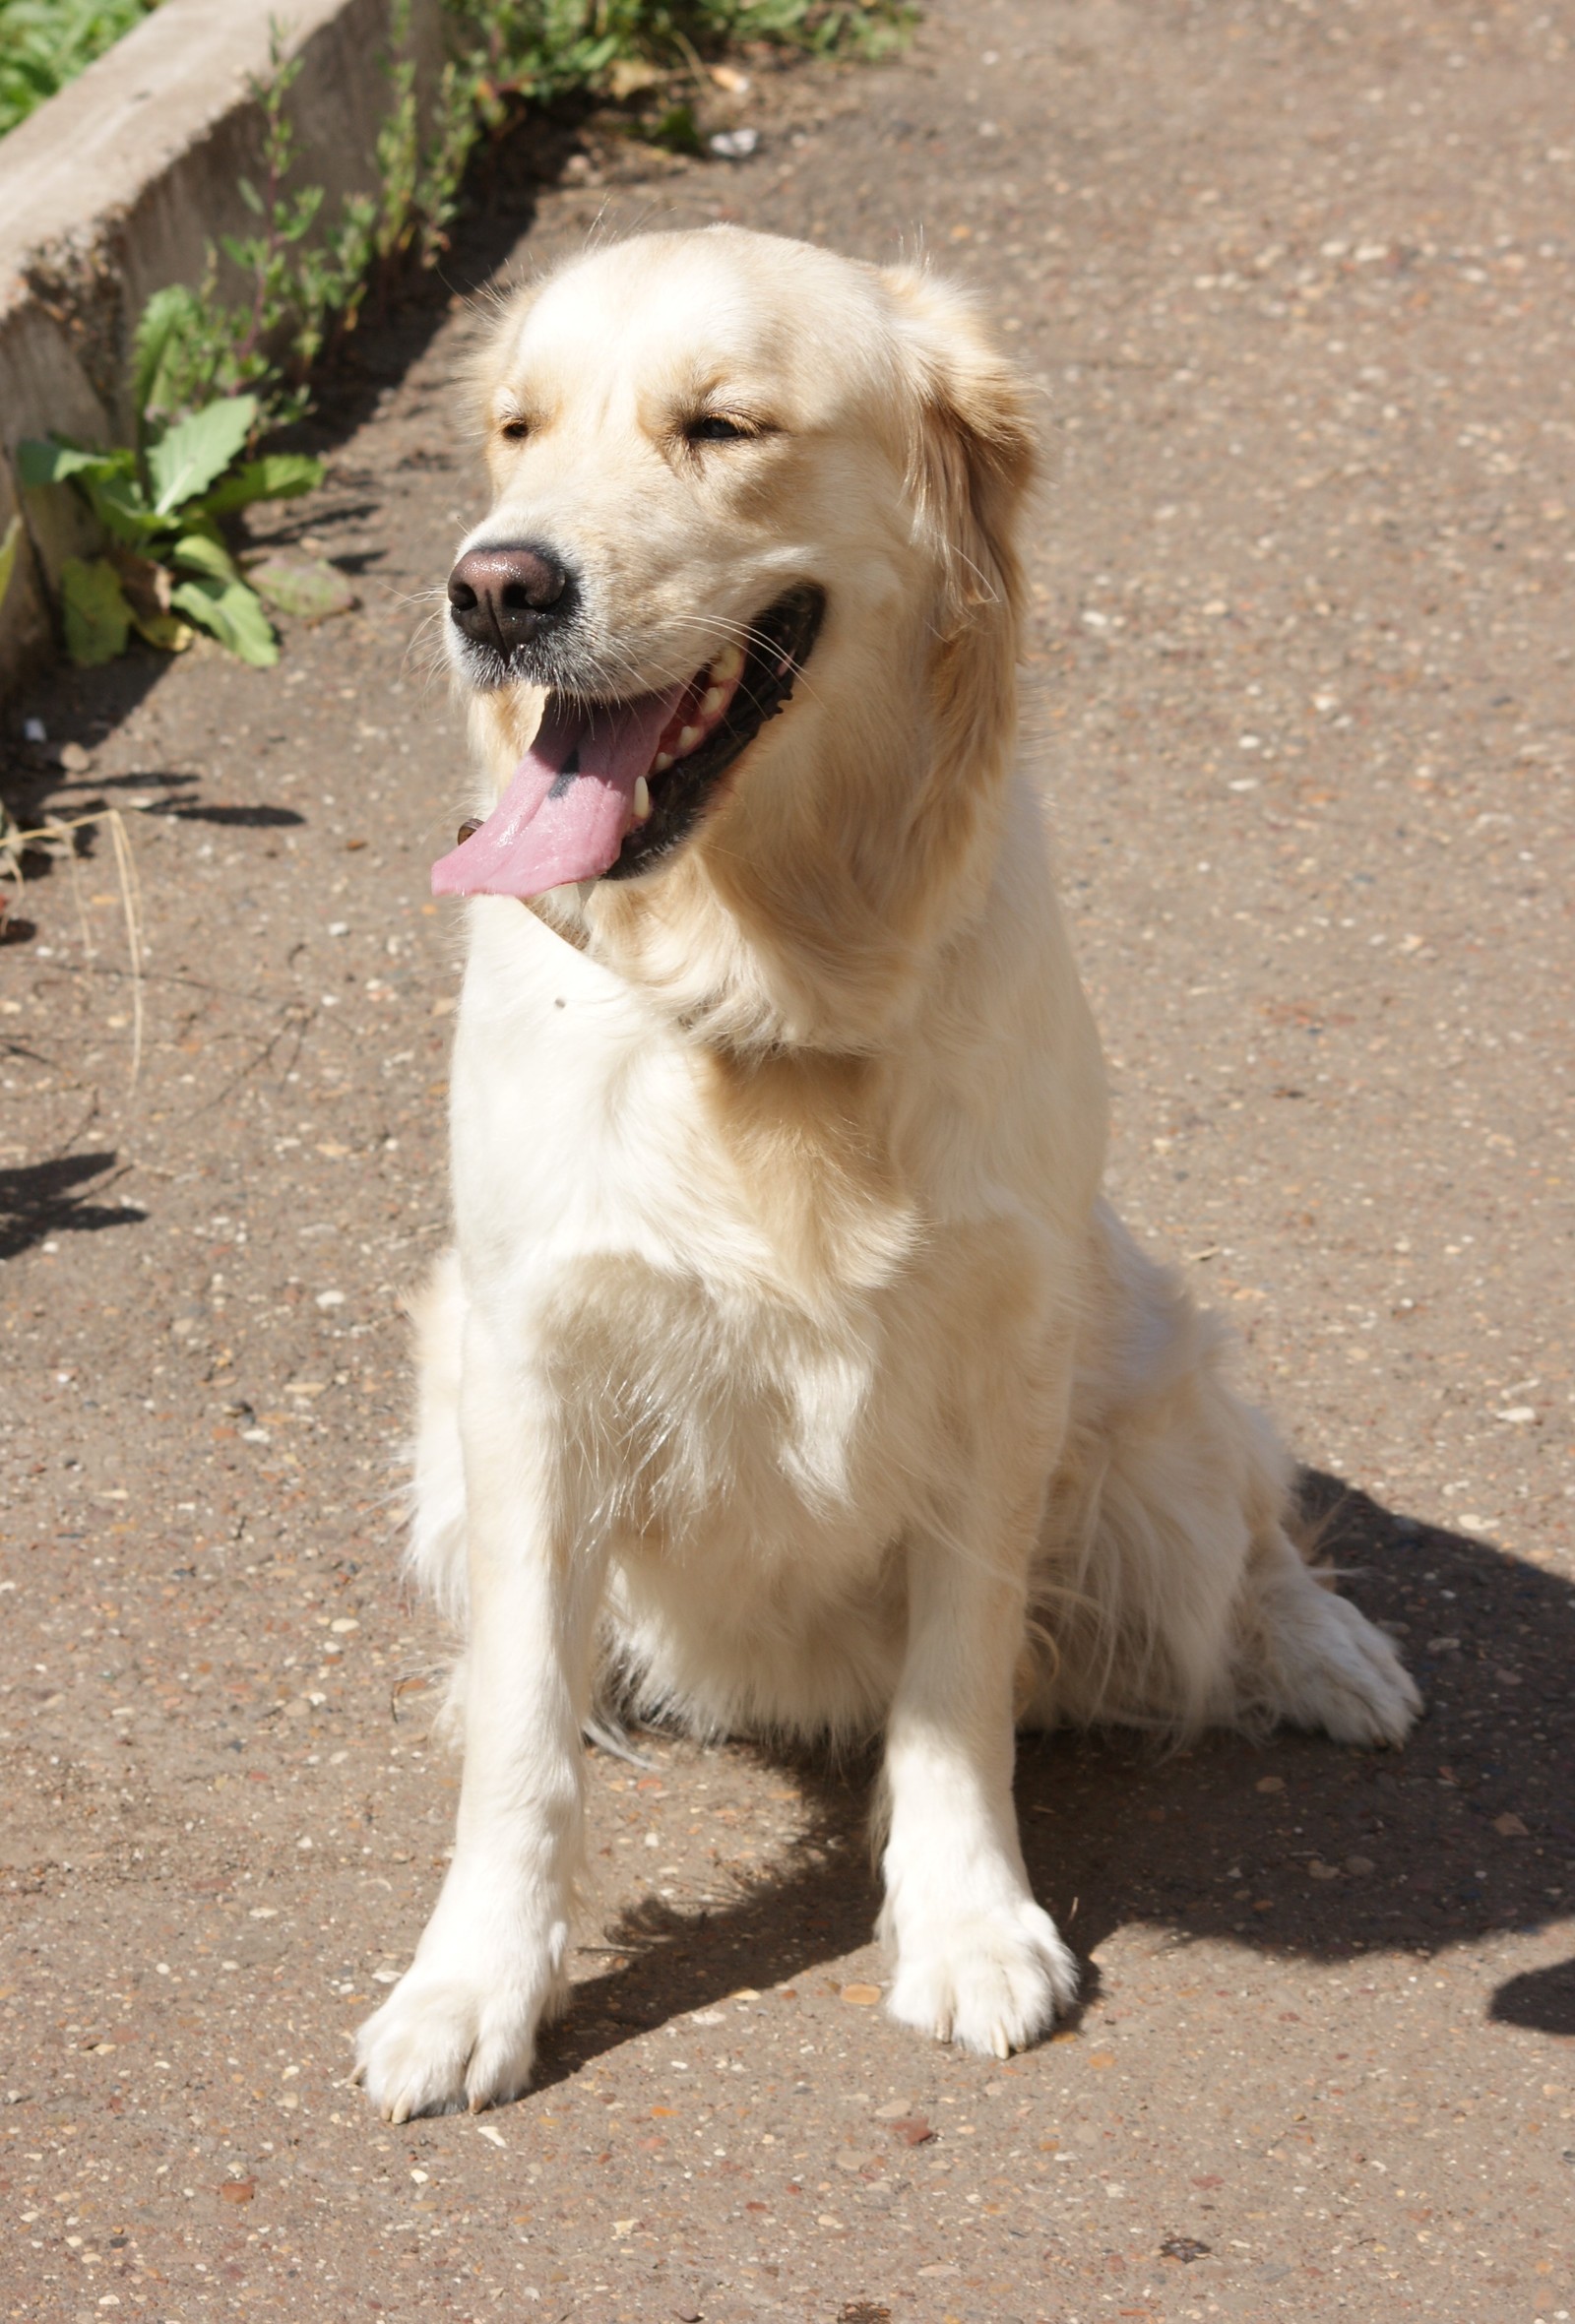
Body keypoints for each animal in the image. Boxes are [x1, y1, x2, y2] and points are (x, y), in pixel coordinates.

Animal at [355, 226, 1421, 2119]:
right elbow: (526, 1743)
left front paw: (968, 1923)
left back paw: (1329, 1654)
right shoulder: (525, 1361)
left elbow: (956, 1688)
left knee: (1244, 1530)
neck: (766, 988)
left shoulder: (1000, 1356)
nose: (494, 590)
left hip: (1148, 1370)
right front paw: (474, 1982)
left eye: (722, 425)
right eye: (514, 429)